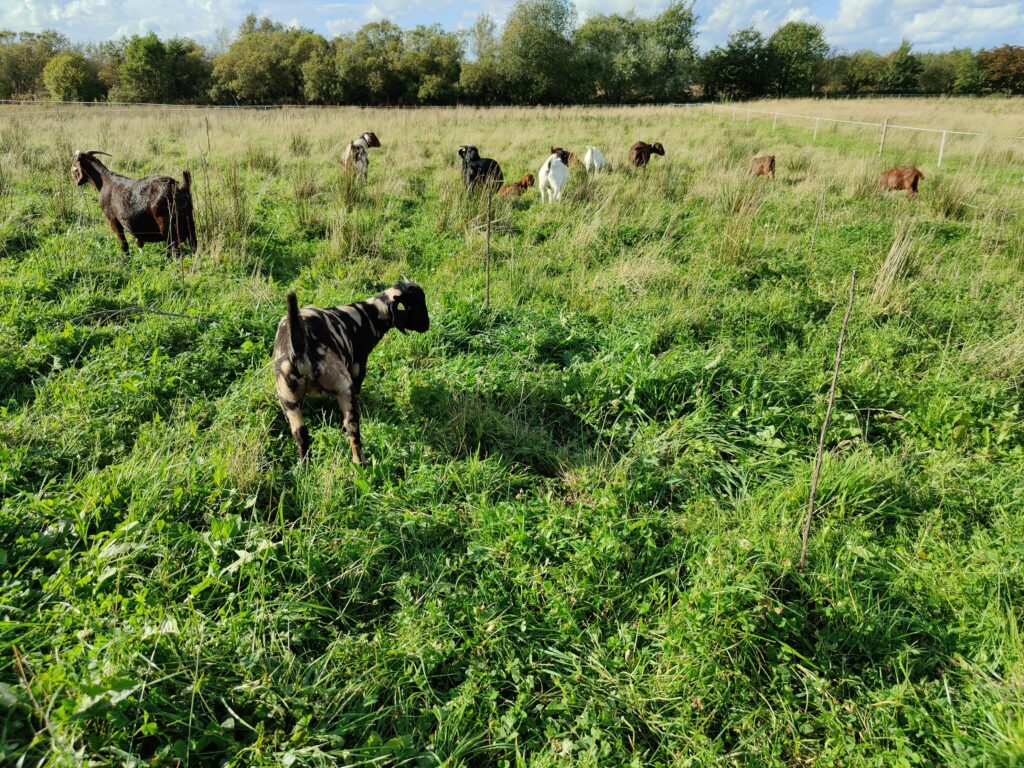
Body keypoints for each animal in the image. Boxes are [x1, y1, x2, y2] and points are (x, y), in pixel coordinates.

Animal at [272, 280, 428, 462]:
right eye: (416, 304)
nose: (427, 325)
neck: (369, 313)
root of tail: (300, 350)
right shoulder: (358, 367)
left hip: (287, 398)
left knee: (301, 434)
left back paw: (304, 464)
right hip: (344, 386)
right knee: (352, 428)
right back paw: (359, 462)